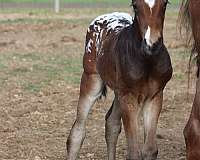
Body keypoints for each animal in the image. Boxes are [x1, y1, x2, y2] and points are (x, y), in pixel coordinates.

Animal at [67, 0, 172, 159]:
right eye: (135, 5)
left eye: (165, 4)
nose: (152, 44)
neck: (146, 60)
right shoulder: (128, 96)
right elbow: (134, 152)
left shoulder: (155, 96)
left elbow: (150, 150)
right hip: (92, 80)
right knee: (77, 131)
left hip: (118, 91)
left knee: (111, 124)